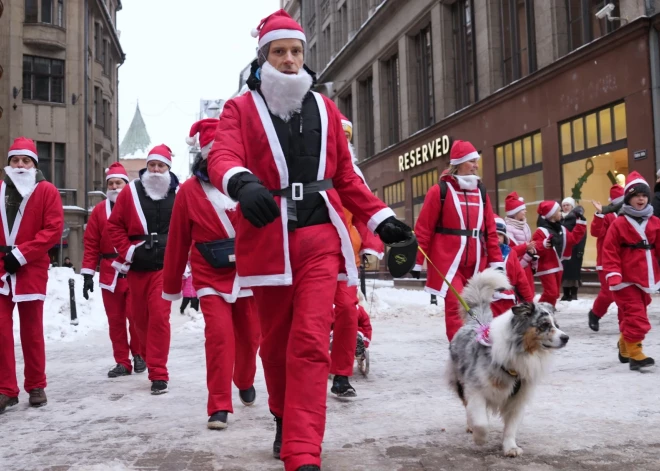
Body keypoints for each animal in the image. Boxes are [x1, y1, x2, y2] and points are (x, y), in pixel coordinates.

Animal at [448, 270, 568, 458]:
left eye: (556, 325)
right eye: (544, 325)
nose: (566, 338)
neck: (521, 352)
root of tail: (474, 322)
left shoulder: (518, 397)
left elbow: (511, 427)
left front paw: (510, 447)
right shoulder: (476, 389)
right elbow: (481, 422)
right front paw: (480, 438)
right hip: (459, 381)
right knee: (467, 406)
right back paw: (471, 426)